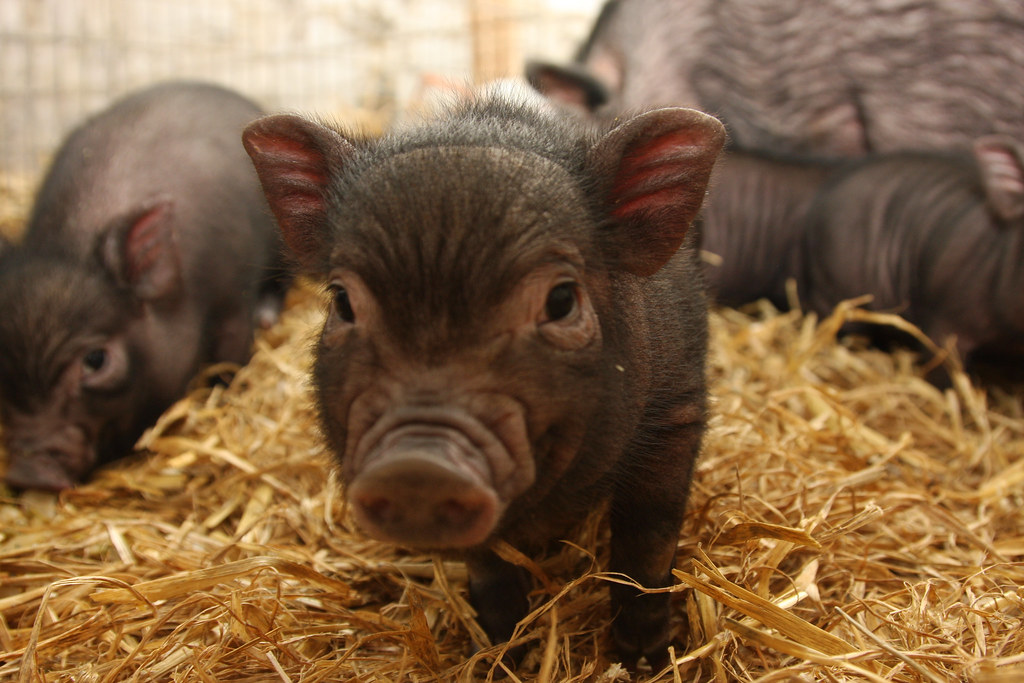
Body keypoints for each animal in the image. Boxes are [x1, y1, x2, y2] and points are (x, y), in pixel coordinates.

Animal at [242, 88, 725, 666]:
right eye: (342, 301)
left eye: (561, 301)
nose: (416, 465)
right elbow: (489, 569)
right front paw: (499, 655)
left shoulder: (678, 414)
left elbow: (646, 547)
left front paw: (647, 659)